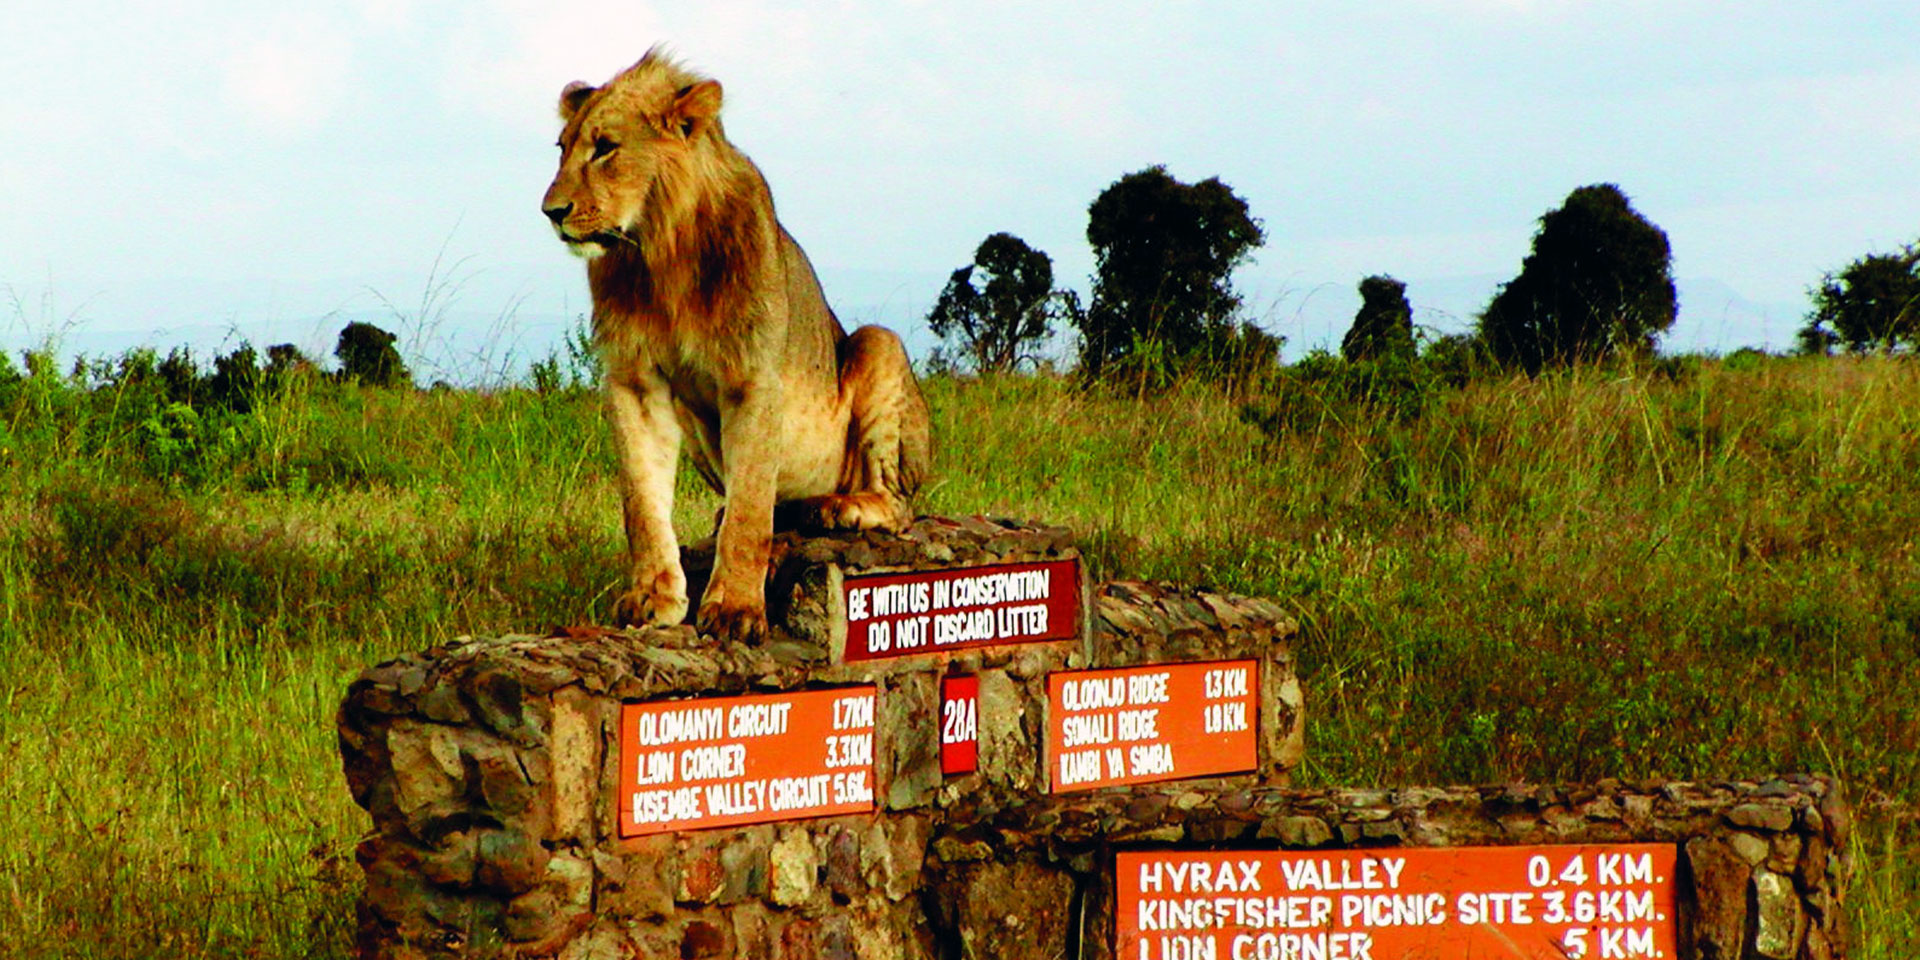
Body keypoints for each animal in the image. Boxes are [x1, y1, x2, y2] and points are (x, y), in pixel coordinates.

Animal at [541, 46, 929, 645]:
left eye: (605, 148)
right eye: (562, 149)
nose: (551, 211)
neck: (661, 249)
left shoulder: (752, 376)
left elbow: (750, 508)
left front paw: (734, 610)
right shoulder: (634, 379)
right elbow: (641, 500)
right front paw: (653, 598)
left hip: (876, 344)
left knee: (898, 505)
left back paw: (837, 508)